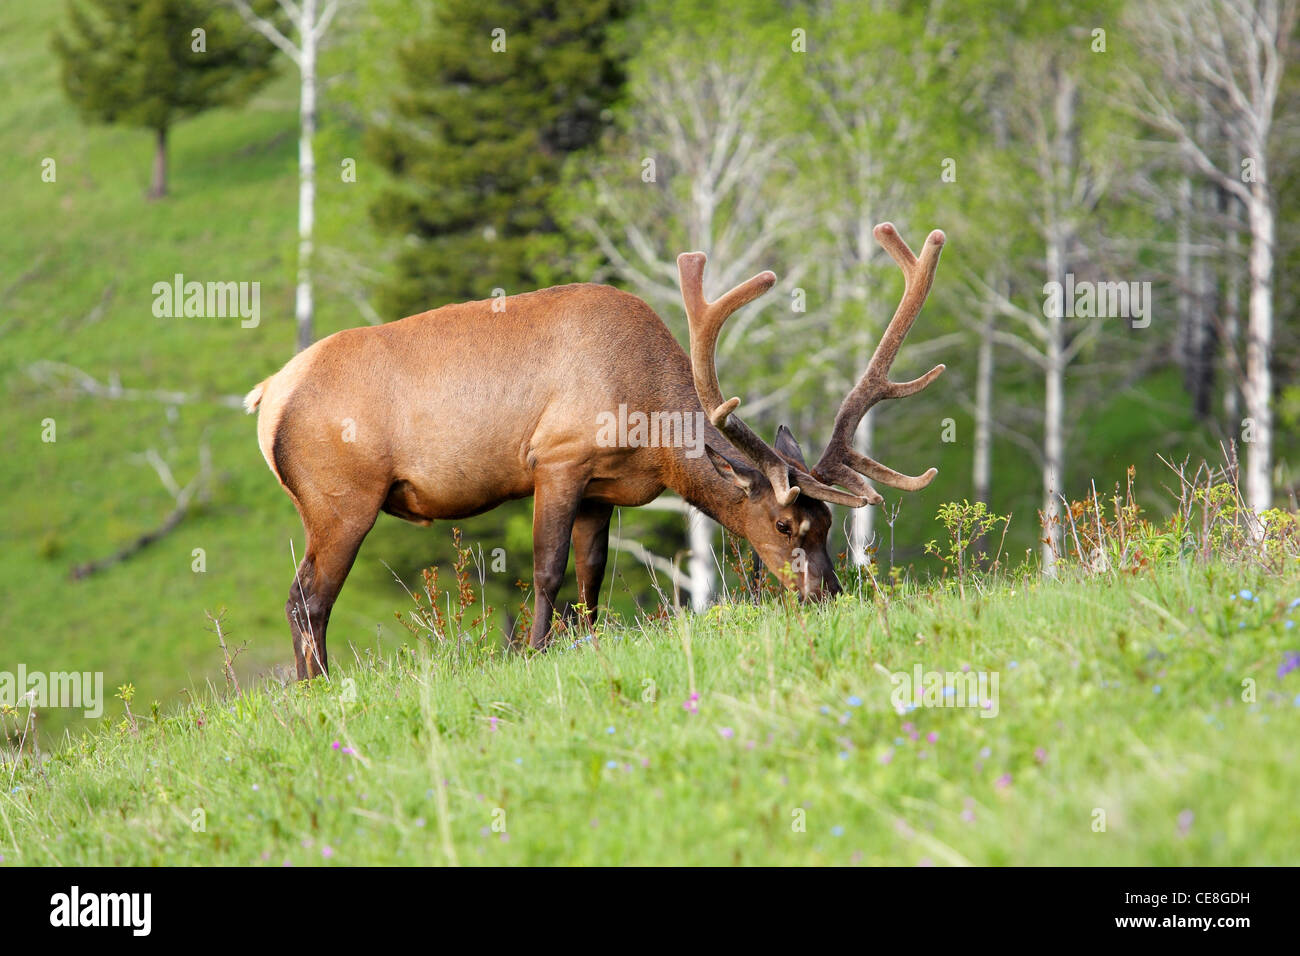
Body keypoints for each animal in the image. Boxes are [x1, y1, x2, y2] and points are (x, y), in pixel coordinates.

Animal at [248, 222, 951, 681]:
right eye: (784, 524)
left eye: (828, 522)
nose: (826, 594)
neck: (647, 423)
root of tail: (267, 396)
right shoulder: (559, 457)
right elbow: (547, 569)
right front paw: (531, 653)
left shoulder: (600, 490)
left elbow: (591, 575)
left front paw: (582, 642)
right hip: (342, 498)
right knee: (307, 598)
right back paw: (320, 690)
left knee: (303, 598)